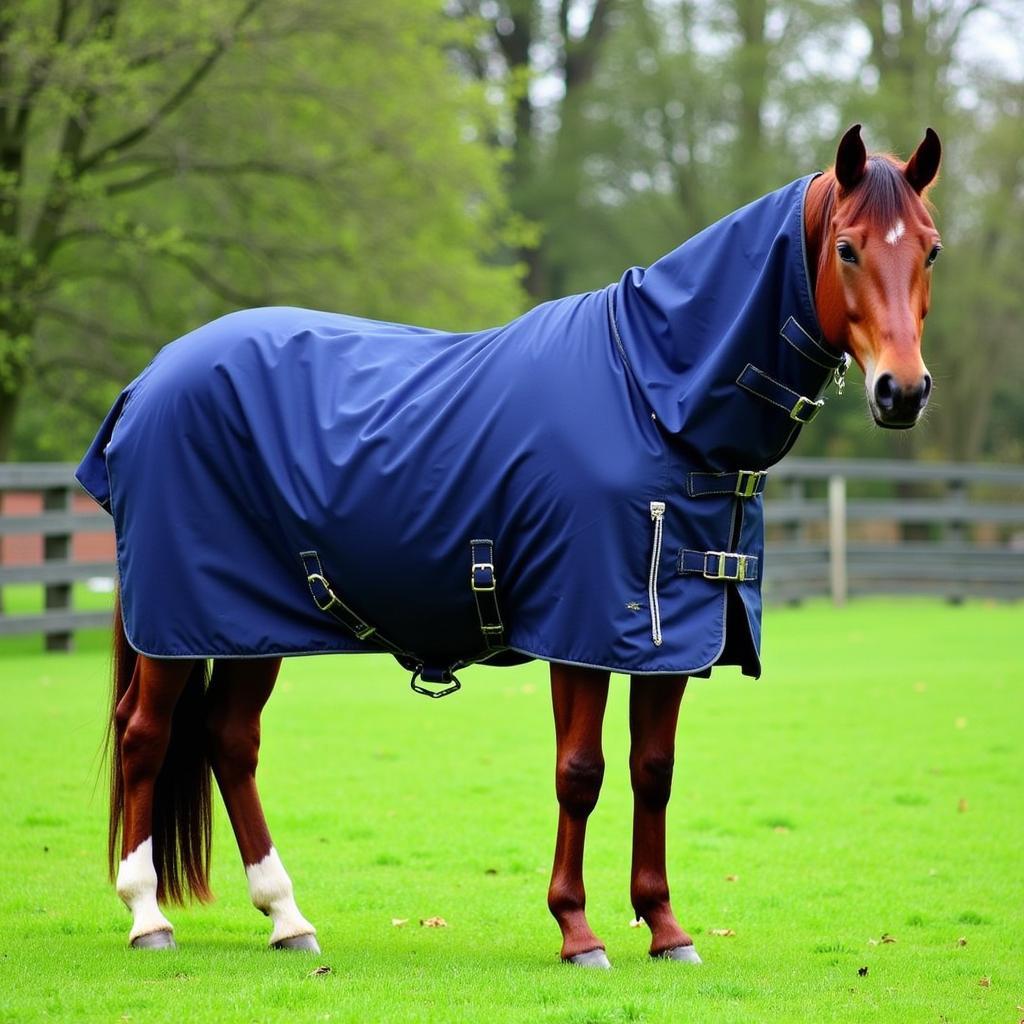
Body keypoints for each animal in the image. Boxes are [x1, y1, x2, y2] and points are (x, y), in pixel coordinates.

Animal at [77, 123, 942, 962]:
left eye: (930, 248)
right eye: (847, 247)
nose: (901, 392)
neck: (652, 397)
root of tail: (146, 382)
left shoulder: (670, 644)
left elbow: (653, 773)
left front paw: (666, 930)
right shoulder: (582, 632)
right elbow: (581, 773)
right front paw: (578, 931)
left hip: (250, 625)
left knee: (230, 739)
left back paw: (287, 919)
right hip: (178, 625)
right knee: (146, 735)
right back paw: (147, 915)